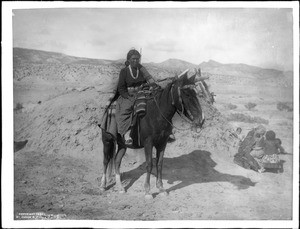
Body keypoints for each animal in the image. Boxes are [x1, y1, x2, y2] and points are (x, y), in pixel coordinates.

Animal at [99, 70, 205, 199]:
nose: (200, 119)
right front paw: (148, 191)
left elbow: (159, 164)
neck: (157, 115)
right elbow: (149, 164)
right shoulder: (148, 143)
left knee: (116, 161)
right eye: (186, 94)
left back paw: (120, 188)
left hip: (122, 144)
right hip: (107, 140)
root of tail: (110, 106)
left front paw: (161, 188)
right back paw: (103, 186)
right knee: (106, 160)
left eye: (195, 93)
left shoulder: (162, 143)